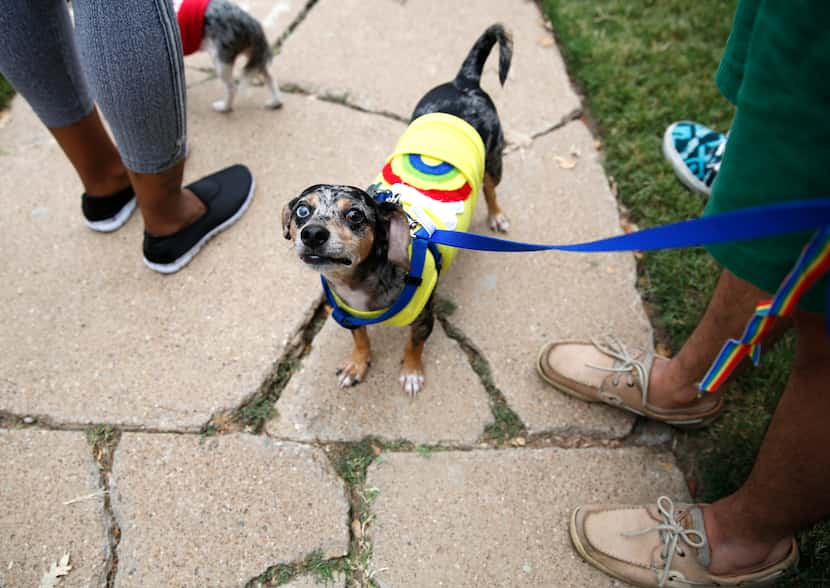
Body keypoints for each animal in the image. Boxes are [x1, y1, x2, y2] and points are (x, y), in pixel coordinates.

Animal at [282, 25, 510, 398]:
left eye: (356, 215)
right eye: (302, 211)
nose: (312, 233)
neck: (357, 287)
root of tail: (464, 81)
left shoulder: (423, 319)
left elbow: (413, 345)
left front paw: (412, 372)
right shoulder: (348, 317)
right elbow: (361, 340)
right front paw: (357, 364)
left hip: (493, 160)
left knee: (490, 189)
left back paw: (497, 215)